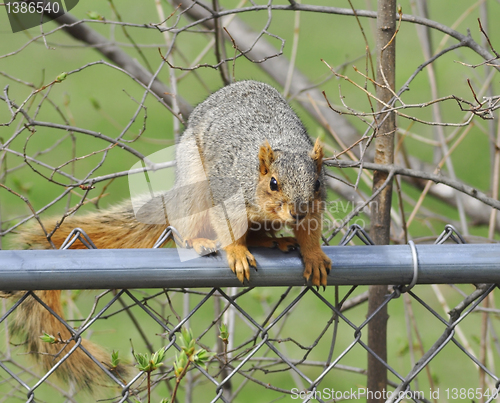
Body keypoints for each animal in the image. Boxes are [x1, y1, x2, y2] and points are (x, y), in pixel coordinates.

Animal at [6, 80, 332, 392]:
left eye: (317, 183)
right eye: (273, 183)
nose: (296, 212)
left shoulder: (313, 209)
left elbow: (310, 232)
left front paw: (314, 257)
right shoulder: (226, 194)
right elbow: (228, 227)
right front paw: (238, 254)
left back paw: (274, 240)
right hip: (194, 187)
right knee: (190, 227)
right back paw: (200, 241)